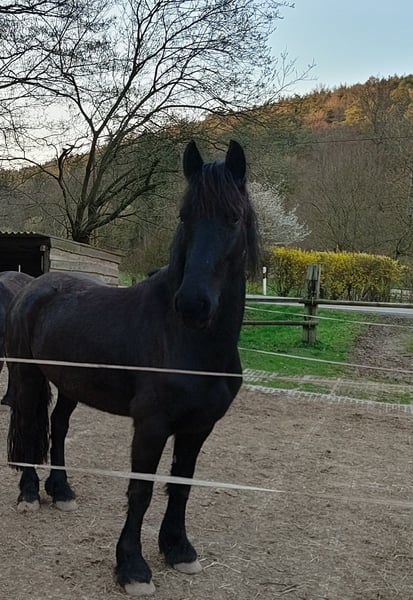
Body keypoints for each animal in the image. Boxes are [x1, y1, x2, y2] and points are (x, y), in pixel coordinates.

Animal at [5, 140, 259, 596]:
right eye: (185, 216)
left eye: (233, 217)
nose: (192, 304)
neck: (186, 339)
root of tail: (33, 286)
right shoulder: (152, 425)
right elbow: (140, 491)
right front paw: (133, 568)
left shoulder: (199, 427)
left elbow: (181, 485)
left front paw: (179, 550)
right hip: (28, 376)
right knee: (30, 426)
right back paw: (30, 494)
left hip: (70, 385)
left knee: (58, 427)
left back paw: (61, 490)